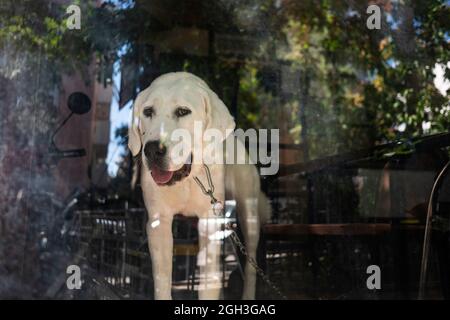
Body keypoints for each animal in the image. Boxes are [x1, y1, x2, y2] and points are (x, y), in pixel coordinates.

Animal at [130, 72, 270, 300]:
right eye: (148, 112)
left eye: (182, 111)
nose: (152, 150)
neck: (188, 179)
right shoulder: (158, 223)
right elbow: (162, 279)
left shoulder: (210, 220)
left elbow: (208, 282)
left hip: (249, 218)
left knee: (250, 265)